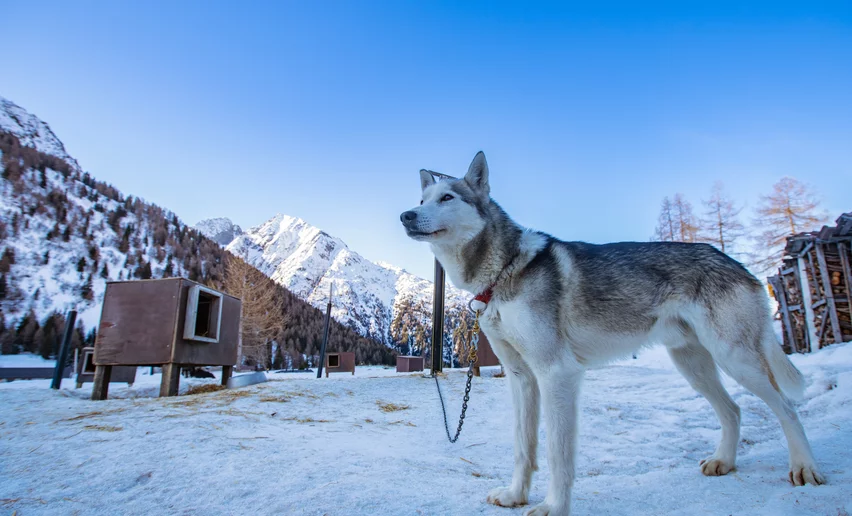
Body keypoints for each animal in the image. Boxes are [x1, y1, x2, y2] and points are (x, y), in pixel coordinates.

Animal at [402, 152, 824, 516]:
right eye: (421, 199)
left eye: (447, 197)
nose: (406, 214)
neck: (505, 269)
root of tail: (736, 263)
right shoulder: (522, 380)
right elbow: (524, 448)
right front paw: (515, 496)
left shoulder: (557, 375)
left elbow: (557, 454)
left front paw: (553, 508)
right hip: (694, 366)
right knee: (733, 411)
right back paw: (725, 462)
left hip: (736, 360)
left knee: (787, 408)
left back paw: (805, 468)